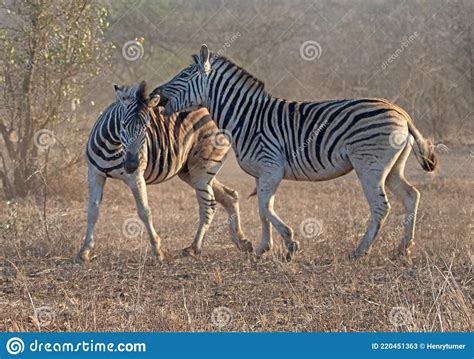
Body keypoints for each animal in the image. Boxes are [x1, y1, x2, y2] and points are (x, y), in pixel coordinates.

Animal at [78, 81, 252, 262]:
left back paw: (194, 248)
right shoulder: (94, 174)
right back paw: (242, 241)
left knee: (209, 205)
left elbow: (144, 212)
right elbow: (92, 211)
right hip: (190, 171)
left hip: (202, 168)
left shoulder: (136, 178)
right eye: (123, 125)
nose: (132, 164)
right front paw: (85, 250)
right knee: (229, 195)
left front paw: (157, 250)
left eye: (146, 128)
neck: (112, 146)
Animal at [154, 45, 438, 262]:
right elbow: (262, 209)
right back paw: (403, 248)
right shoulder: (261, 173)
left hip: (370, 166)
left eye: (183, 75)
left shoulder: (271, 167)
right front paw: (263, 248)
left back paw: (359, 251)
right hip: (391, 168)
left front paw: (289, 244)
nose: (156, 94)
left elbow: (265, 208)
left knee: (381, 206)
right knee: (412, 196)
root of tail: (402, 112)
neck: (247, 117)